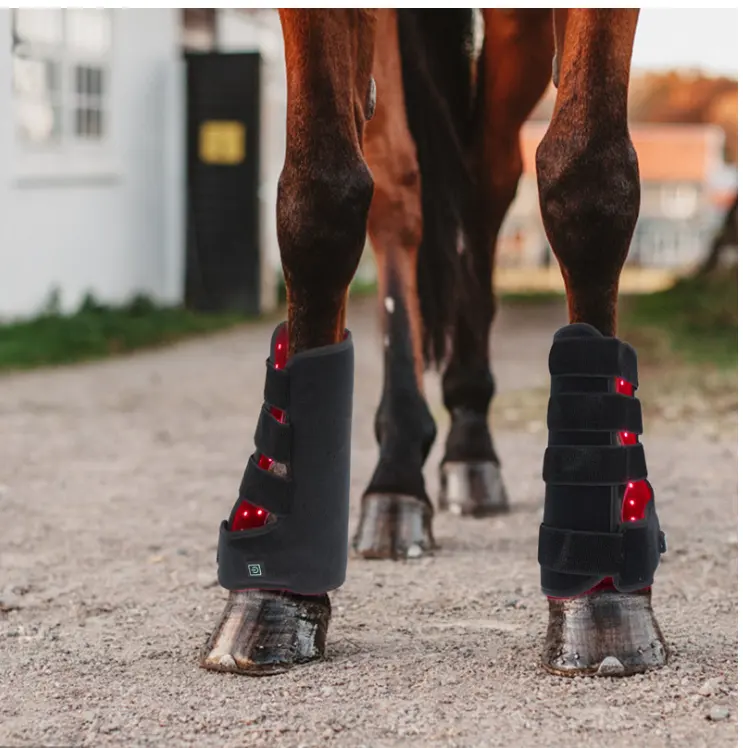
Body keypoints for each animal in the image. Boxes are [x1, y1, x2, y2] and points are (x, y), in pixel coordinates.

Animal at [199, 10, 668, 676]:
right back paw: (397, 475)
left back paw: (470, 441)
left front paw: (604, 600)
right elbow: (318, 195)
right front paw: (275, 595)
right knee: (400, 191)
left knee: (487, 177)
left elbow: (589, 181)